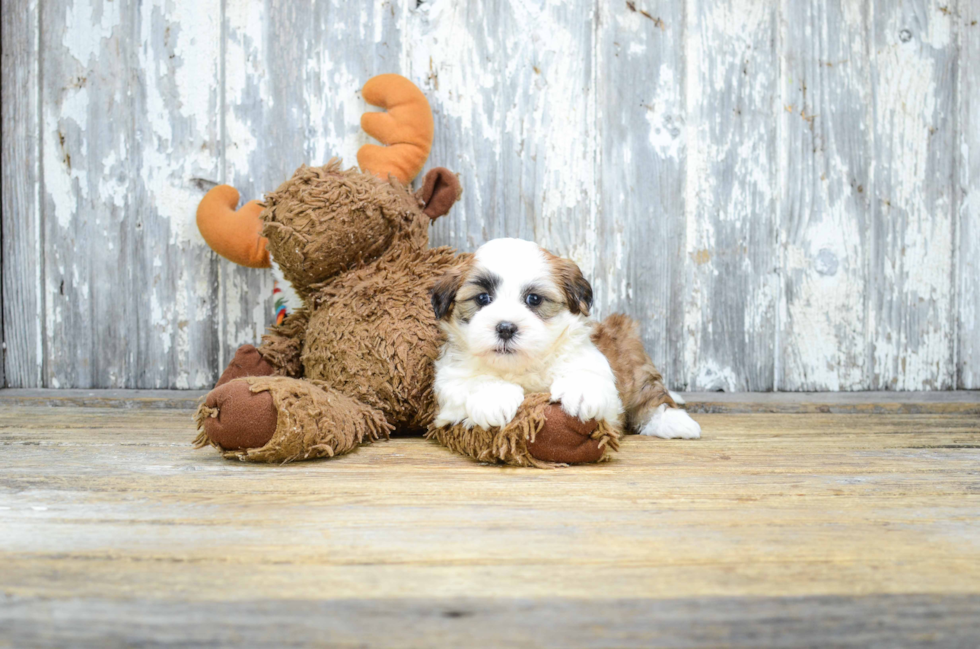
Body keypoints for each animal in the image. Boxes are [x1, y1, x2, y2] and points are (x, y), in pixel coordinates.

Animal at [432, 235, 700, 438]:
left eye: (534, 299)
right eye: (482, 298)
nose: (506, 328)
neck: (521, 367)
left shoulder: (594, 366)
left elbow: (587, 375)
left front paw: (580, 392)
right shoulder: (449, 382)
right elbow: (472, 382)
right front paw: (494, 397)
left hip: (632, 355)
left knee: (651, 395)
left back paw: (675, 421)